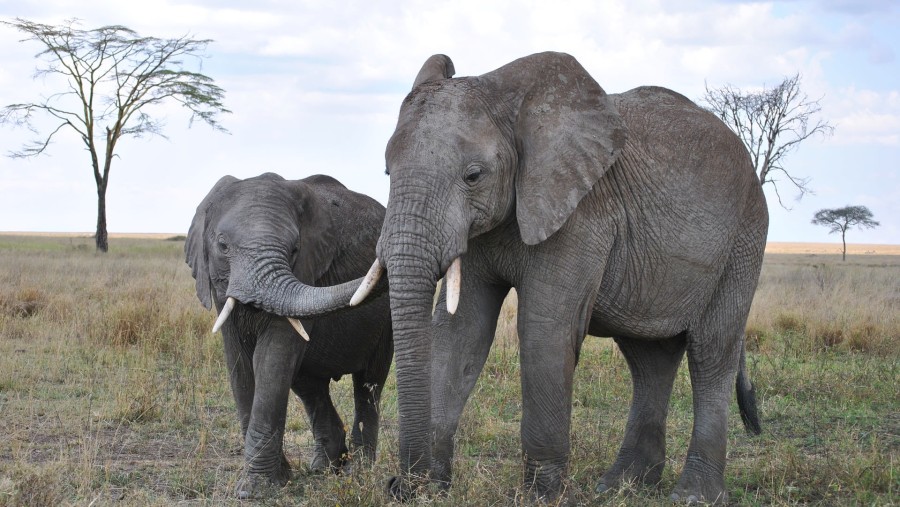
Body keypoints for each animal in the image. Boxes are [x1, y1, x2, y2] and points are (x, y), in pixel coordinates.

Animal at [185, 173, 392, 498]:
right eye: (222, 245)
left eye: (294, 249)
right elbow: (240, 366)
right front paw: (275, 481)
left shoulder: (307, 270)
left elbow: (271, 358)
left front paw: (256, 490)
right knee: (309, 385)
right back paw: (323, 467)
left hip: (386, 323)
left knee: (369, 383)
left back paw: (356, 473)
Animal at [352, 51, 768, 504]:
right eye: (387, 173)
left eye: (473, 176)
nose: (398, 486)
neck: (511, 102)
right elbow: (461, 331)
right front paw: (435, 489)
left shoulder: (581, 213)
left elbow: (544, 331)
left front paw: (542, 496)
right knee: (649, 358)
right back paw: (621, 486)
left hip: (744, 237)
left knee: (711, 350)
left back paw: (693, 495)